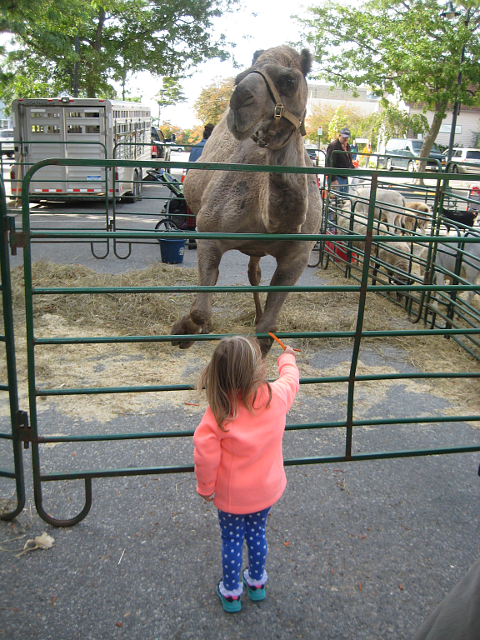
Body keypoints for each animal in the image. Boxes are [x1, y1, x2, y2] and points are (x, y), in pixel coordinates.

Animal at [171, 45, 322, 355]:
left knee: (254, 273)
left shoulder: (298, 257)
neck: (272, 223)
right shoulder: (209, 232)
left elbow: (267, 329)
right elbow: (200, 310)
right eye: (238, 77)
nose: (239, 99)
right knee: (224, 278)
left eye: (290, 80)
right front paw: (182, 331)